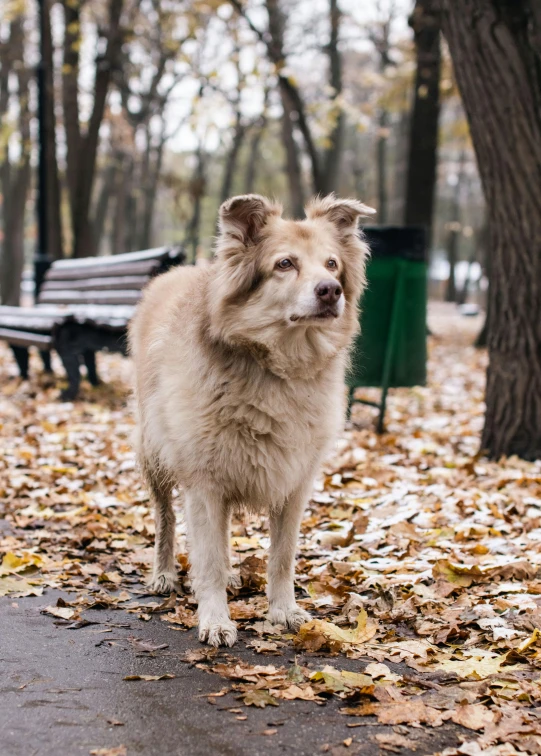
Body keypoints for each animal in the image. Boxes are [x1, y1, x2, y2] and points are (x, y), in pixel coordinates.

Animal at [127, 192, 372, 648]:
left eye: (332, 264)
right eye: (285, 263)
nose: (330, 291)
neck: (277, 369)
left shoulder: (294, 482)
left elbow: (282, 556)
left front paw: (283, 610)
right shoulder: (204, 483)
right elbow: (206, 558)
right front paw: (215, 618)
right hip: (155, 453)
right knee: (166, 519)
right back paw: (164, 573)